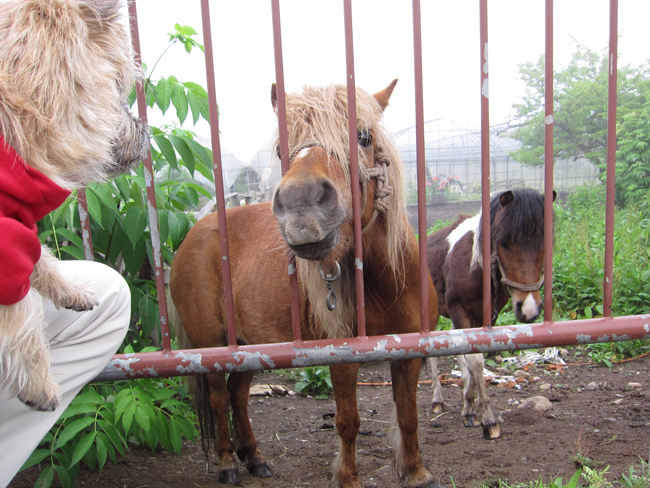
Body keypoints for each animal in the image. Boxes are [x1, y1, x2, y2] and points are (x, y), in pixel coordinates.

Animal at [167, 80, 440, 488]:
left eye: (363, 136)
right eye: (282, 149)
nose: (301, 205)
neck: (389, 287)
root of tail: (191, 234)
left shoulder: (409, 356)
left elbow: (409, 417)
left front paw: (417, 472)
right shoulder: (342, 359)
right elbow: (348, 422)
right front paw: (348, 478)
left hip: (249, 348)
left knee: (239, 396)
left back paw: (255, 458)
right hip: (212, 347)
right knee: (218, 399)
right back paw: (229, 463)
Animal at [426, 188, 552, 438]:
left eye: (543, 243)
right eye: (504, 243)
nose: (530, 308)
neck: (475, 268)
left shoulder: (486, 317)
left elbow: (473, 358)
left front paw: (470, 407)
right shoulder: (458, 309)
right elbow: (475, 361)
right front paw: (488, 419)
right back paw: (438, 399)